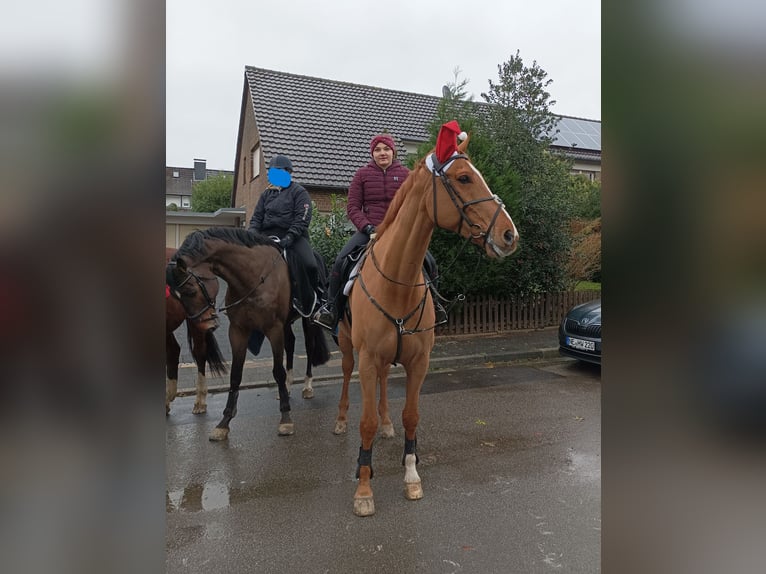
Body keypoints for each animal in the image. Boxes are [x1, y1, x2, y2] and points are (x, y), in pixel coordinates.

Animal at [338, 127, 520, 516]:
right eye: (464, 178)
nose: (510, 235)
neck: (398, 282)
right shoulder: (367, 359)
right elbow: (365, 423)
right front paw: (364, 489)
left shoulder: (419, 361)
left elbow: (411, 416)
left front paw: (411, 475)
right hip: (347, 347)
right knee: (345, 375)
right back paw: (341, 420)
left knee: (385, 390)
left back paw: (387, 425)